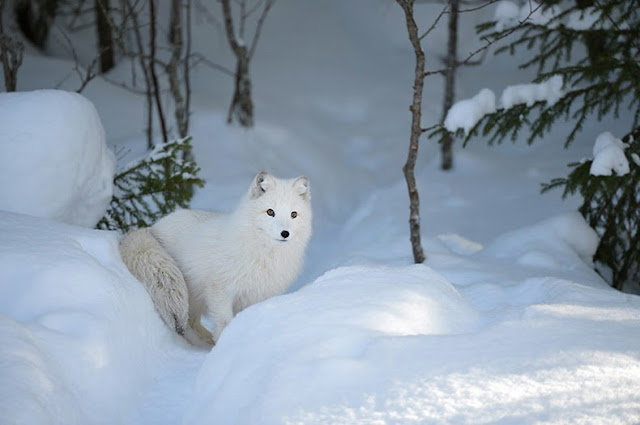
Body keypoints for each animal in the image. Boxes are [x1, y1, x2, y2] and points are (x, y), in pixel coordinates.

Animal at [120, 171, 312, 344]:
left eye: (293, 214)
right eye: (270, 212)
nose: (285, 233)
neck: (264, 253)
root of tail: (151, 228)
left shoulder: (259, 296)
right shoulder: (220, 291)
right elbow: (225, 322)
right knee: (188, 325)